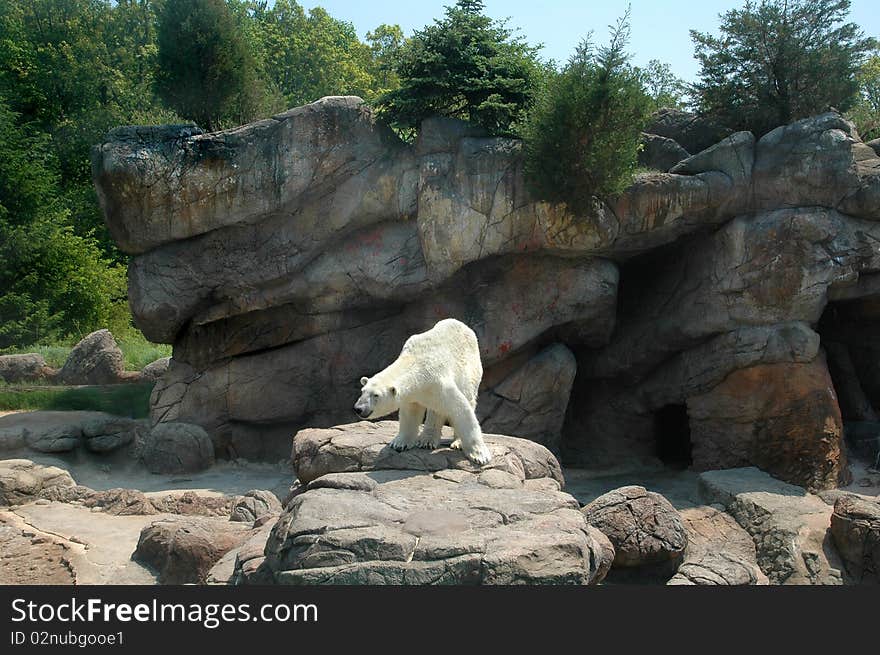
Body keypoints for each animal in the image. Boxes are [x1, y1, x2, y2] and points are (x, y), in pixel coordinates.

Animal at [350, 320, 492, 466]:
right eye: (362, 391)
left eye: (376, 395)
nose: (358, 408)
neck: (417, 362)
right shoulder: (414, 393)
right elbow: (410, 413)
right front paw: (399, 443)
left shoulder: (438, 382)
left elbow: (460, 410)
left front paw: (480, 456)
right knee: (436, 409)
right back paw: (427, 440)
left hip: (470, 369)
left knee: (467, 397)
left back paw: (456, 442)